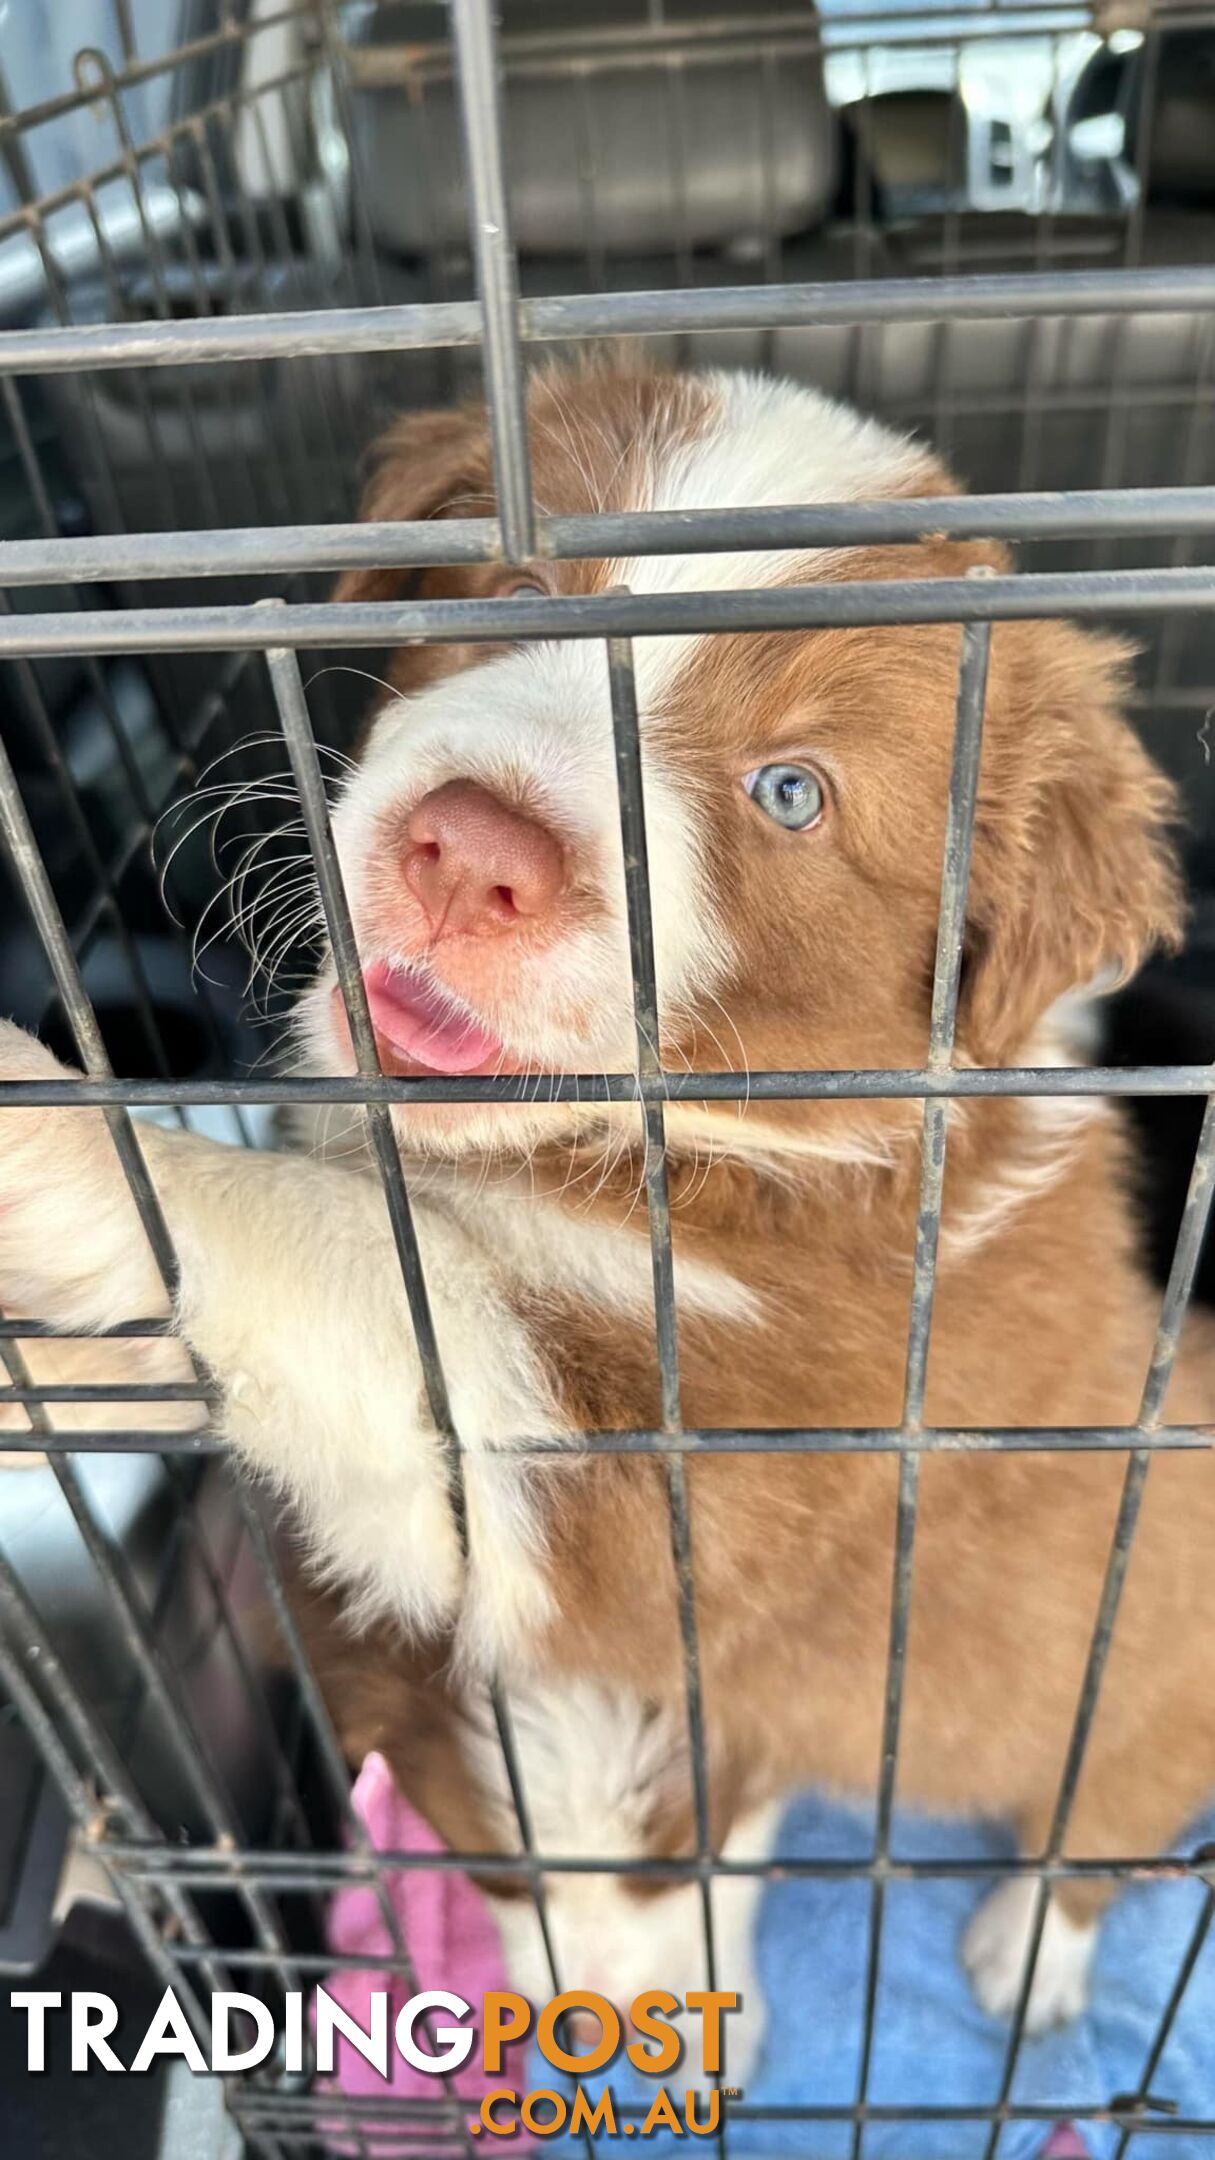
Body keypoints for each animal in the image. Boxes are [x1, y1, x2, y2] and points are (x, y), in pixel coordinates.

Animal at [2, 367, 1210, 2073]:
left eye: (789, 793)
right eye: (509, 594)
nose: (470, 854)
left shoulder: (664, 1508)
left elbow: (343, 1264)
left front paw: (51, 1139)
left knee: (1104, 1815)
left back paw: (1027, 1947)